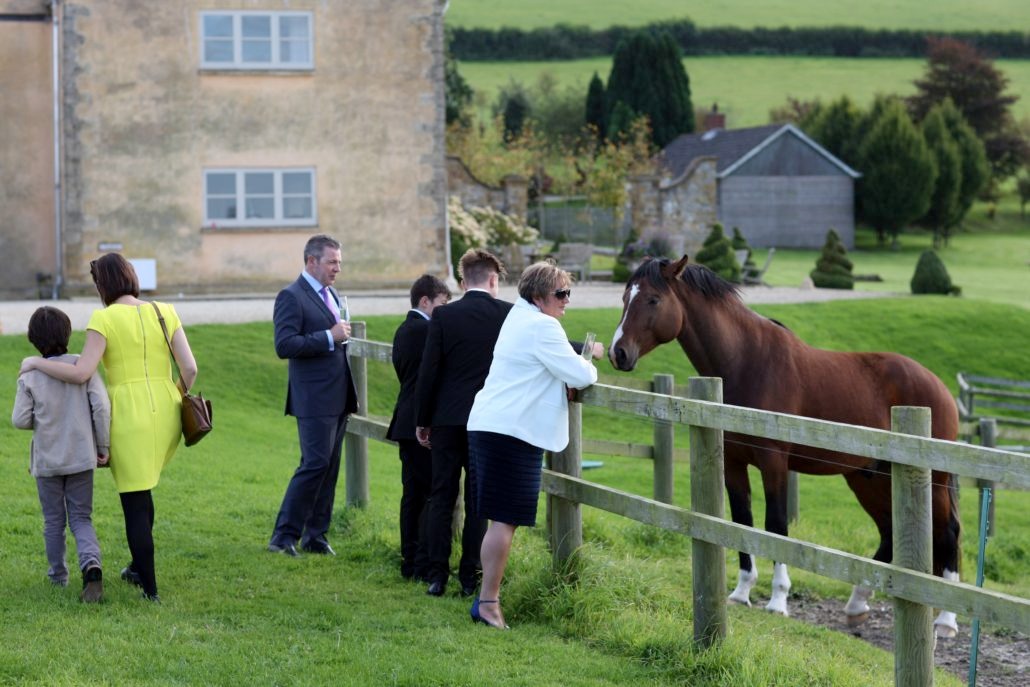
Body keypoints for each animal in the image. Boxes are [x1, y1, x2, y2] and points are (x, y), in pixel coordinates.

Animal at [608, 256, 962, 637]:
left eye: (654, 299)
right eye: (625, 297)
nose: (618, 353)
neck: (747, 362)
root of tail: (940, 388)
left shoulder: (773, 461)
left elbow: (775, 524)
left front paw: (778, 600)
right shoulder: (733, 463)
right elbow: (742, 520)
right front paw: (741, 592)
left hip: (931, 480)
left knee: (949, 531)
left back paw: (946, 621)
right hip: (868, 478)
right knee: (888, 532)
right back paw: (857, 605)